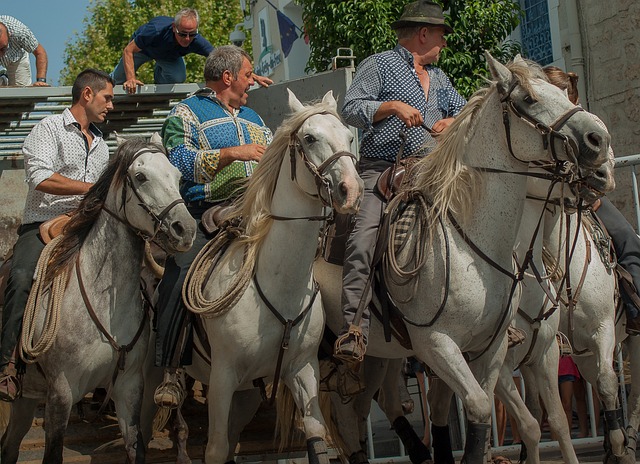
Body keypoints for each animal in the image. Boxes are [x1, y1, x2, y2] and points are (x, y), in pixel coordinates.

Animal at [0, 136, 195, 462]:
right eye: (140, 177)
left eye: (178, 177)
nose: (186, 230)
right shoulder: (61, 392)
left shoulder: (129, 388)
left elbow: (135, 447)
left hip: (26, 398)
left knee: (9, 445)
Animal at [168, 89, 362, 464]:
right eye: (309, 138)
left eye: (348, 136)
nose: (351, 190)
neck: (278, 284)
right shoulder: (223, 377)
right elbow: (216, 449)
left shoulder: (302, 368)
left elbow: (316, 436)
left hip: (247, 394)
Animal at [316, 52, 608, 462]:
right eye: (530, 98)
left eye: (563, 93)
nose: (600, 141)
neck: (469, 242)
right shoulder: (437, 344)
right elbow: (481, 409)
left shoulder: (493, 348)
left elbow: (486, 418)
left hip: (379, 357)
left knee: (362, 411)